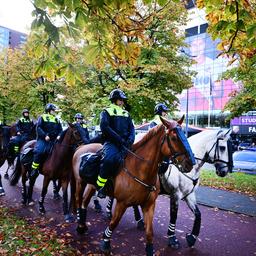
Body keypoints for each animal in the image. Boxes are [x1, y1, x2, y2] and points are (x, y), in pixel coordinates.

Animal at [71, 117, 195, 255]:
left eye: (185, 134)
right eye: (174, 138)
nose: (191, 162)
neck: (139, 168)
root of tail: (81, 147)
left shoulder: (149, 204)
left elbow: (149, 232)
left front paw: (150, 249)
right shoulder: (122, 203)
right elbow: (114, 223)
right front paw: (105, 242)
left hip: (92, 186)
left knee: (85, 202)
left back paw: (82, 225)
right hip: (80, 182)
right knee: (78, 199)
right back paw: (80, 224)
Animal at [105, 129, 233, 247]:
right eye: (222, 148)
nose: (224, 171)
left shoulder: (189, 195)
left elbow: (198, 215)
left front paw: (192, 238)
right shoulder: (175, 194)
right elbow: (174, 215)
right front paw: (172, 238)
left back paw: (138, 220)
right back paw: (109, 212)